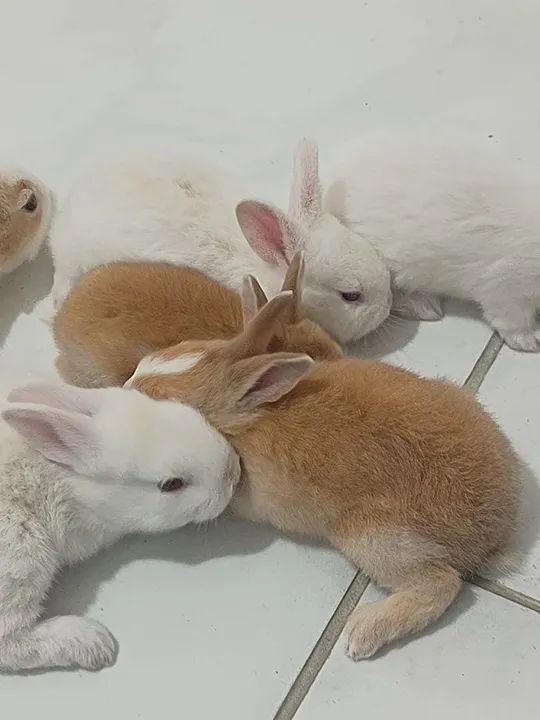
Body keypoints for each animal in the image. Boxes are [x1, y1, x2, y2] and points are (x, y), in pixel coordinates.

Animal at [0, 380, 239, 672]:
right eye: (171, 484)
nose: (235, 473)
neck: (70, 485)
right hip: (23, 550)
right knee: (11, 641)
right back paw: (92, 641)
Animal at [128, 291, 521, 660]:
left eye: (160, 398)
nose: (127, 386)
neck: (249, 417)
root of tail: (491, 533)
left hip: (371, 538)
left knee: (441, 584)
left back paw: (360, 633)